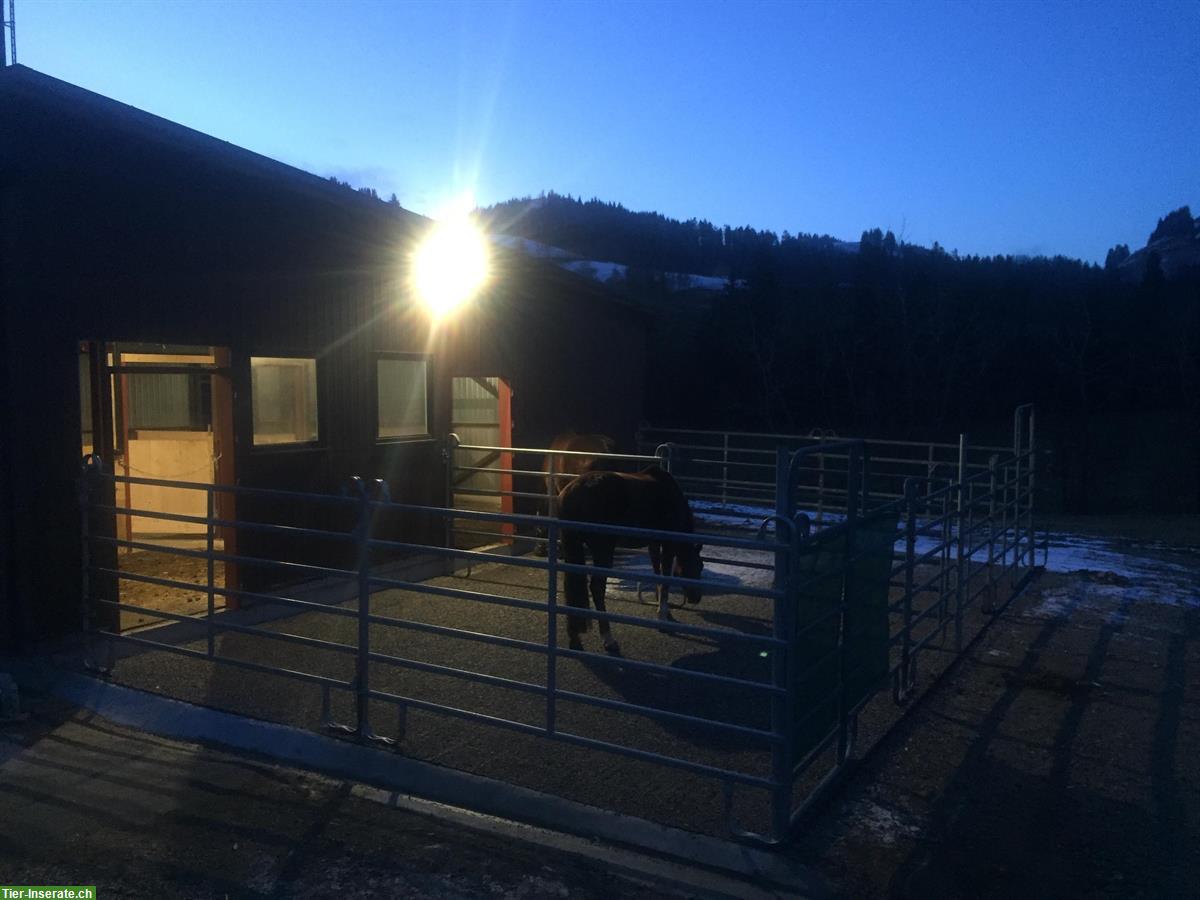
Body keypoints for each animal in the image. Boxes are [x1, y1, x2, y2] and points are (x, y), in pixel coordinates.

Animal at [559, 465, 700, 657]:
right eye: (699, 567)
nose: (696, 598)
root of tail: (573, 492)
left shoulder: (653, 543)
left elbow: (658, 575)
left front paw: (663, 610)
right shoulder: (668, 544)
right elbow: (665, 580)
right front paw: (663, 617)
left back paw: (575, 638)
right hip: (603, 549)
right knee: (597, 588)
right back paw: (609, 639)